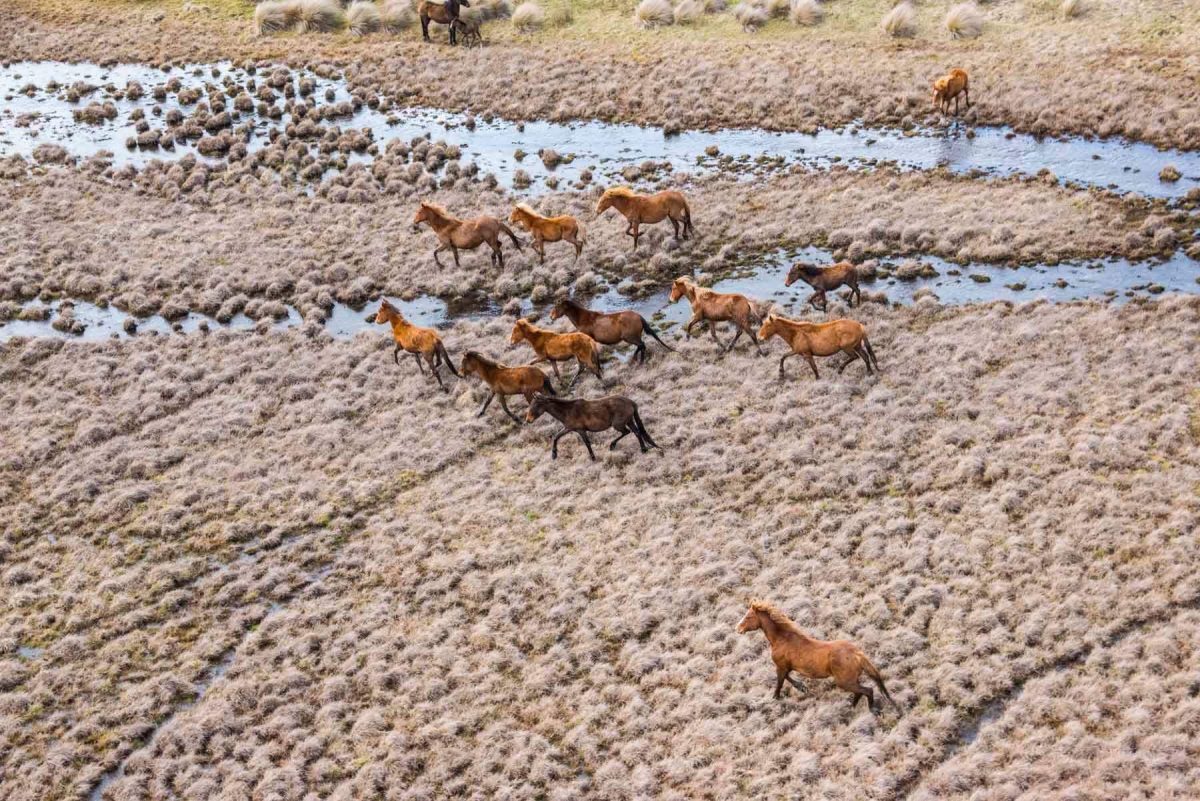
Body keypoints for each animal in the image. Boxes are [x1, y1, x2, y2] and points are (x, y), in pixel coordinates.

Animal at [525, 393, 662, 460]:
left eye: (536, 405)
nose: (528, 420)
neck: (568, 410)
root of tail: (631, 402)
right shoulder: (569, 428)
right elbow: (556, 437)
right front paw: (554, 455)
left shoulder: (580, 430)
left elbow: (587, 443)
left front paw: (592, 457)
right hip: (629, 421)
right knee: (636, 433)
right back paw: (643, 449)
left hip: (618, 424)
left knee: (627, 432)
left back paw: (613, 445)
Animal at [729, 599, 902, 714]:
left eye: (748, 617)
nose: (738, 628)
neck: (782, 639)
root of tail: (858, 654)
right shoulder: (786, 667)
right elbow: (788, 678)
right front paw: (802, 687)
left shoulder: (781, 666)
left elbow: (780, 682)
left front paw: (775, 698)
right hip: (851, 680)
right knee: (860, 692)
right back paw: (851, 708)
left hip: (845, 682)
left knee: (868, 691)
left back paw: (872, 710)